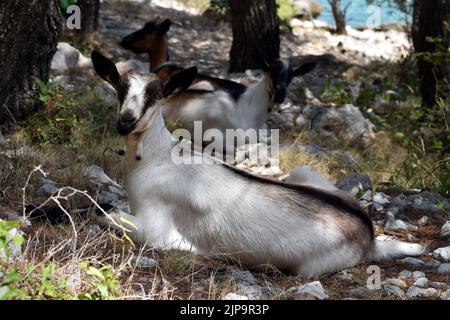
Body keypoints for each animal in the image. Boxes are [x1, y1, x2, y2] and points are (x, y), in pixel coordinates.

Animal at [89, 50, 428, 278]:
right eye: (119, 87)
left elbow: (106, 213)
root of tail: (369, 235)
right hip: (304, 173)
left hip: (306, 268)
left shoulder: (157, 232)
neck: (158, 158)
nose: (126, 121)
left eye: (156, 94)